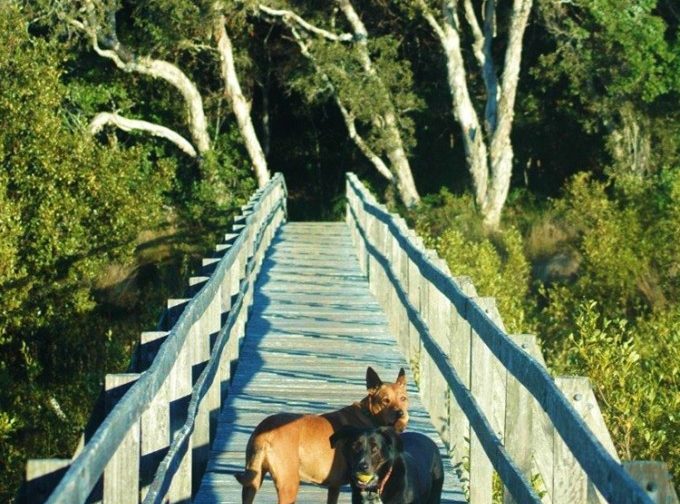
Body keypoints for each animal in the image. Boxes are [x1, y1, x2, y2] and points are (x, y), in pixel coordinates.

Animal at [235, 366, 410, 504]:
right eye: (385, 401)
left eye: (403, 399)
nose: (401, 414)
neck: (368, 415)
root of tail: (265, 431)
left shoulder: (334, 486)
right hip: (288, 484)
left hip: (252, 481)